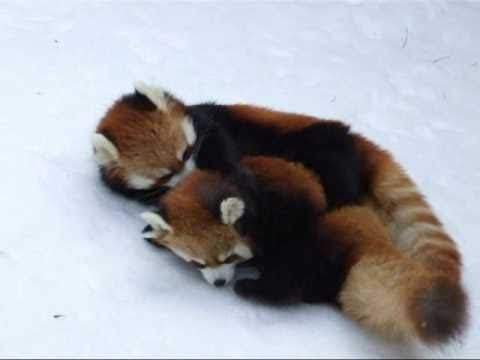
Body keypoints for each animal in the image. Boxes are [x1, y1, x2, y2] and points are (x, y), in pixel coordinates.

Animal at [141, 156, 466, 344]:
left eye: (230, 257)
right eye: (197, 264)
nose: (219, 283)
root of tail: (374, 236)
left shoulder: (285, 207)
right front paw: (151, 234)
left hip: (324, 235)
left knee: (299, 273)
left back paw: (257, 288)